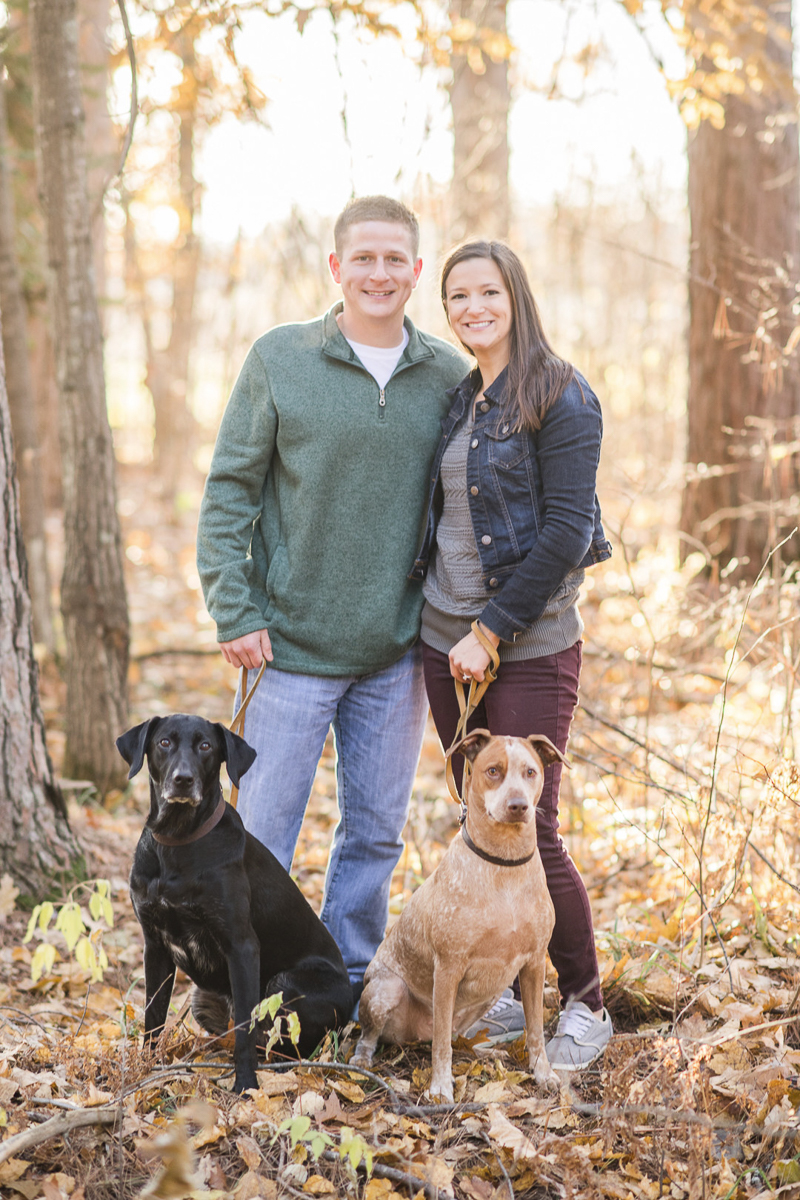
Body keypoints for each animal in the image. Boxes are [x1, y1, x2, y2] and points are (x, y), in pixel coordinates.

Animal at [118, 715, 352, 1094]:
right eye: (164, 742)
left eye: (206, 746)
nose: (183, 780)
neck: (178, 841)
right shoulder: (155, 945)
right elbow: (153, 1015)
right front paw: (147, 1071)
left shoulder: (241, 947)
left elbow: (245, 1026)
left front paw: (246, 1084)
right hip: (201, 997)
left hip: (285, 985)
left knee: (285, 1046)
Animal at [352, 724, 566, 1099]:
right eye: (493, 771)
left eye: (531, 772)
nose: (518, 806)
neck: (503, 865)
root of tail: (414, 1037)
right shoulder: (448, 967)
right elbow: (440, 1047)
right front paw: (440, 1087)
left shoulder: (534, 964)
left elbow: (537, 1030)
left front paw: (543, 1073)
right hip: (386, 990)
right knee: (385, 1035)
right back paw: (363, 1060)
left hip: (487, 996)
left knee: (454, 1037)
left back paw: (483, 1051)